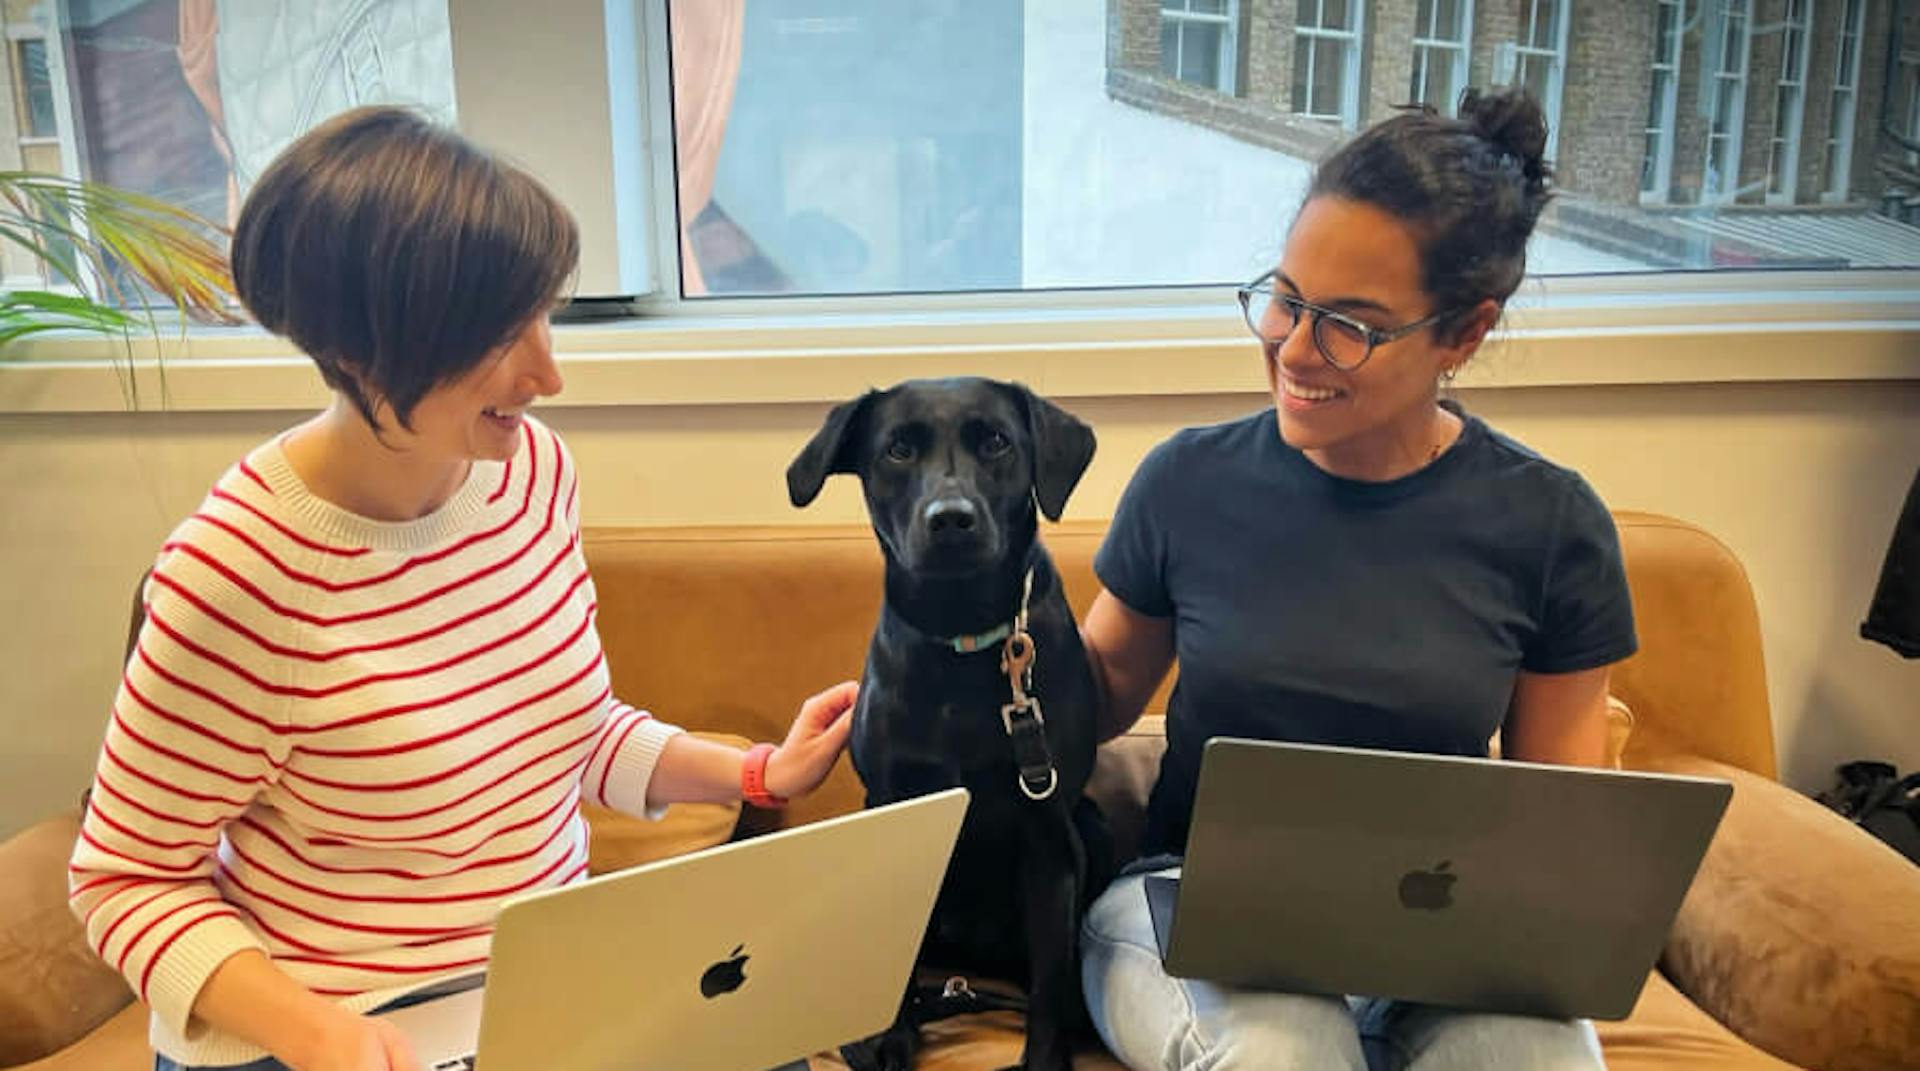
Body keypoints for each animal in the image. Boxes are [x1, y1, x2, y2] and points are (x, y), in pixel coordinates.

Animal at [783, 378, 1113, 1071]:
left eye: (996, 441)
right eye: (898, 449)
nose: (951, 519)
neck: (960, 631)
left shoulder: (1048, 830)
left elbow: (1050, 968)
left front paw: (1045, 1056)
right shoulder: (896, 806)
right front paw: (889, 1036)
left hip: (1089, 827)